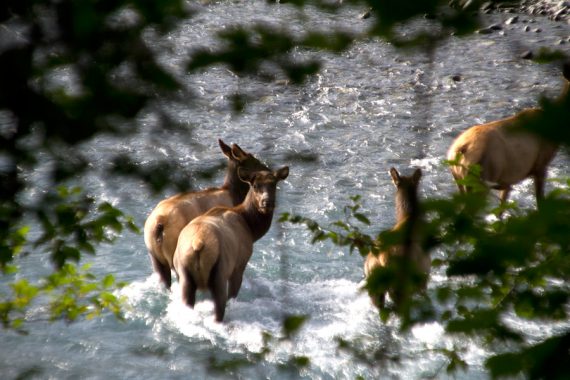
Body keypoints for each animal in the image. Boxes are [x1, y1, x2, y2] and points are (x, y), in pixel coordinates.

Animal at [141, 140, 268, 290]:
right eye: (253, 160)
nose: (267, 169)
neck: (235, 195)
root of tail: (158, 225)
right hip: (176, 255)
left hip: (155, 257)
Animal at [172, 166, 288, 320]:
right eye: (255, 185)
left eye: (274, 184)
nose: (266, 202)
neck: (251, 228)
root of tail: (198, 244)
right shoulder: (239, 265)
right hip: (220, 274)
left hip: (184, 274)